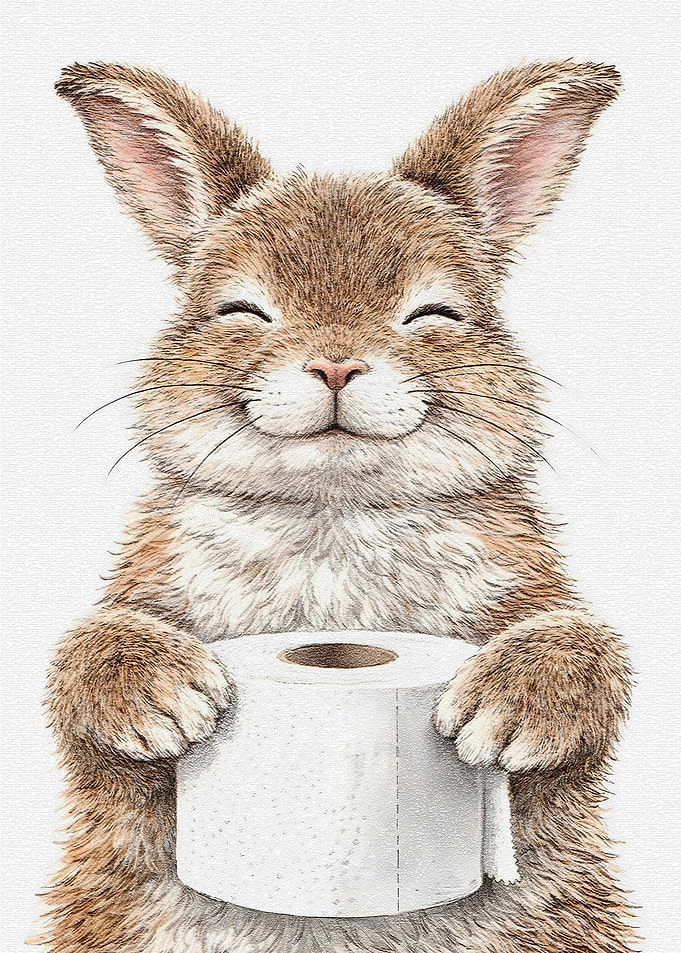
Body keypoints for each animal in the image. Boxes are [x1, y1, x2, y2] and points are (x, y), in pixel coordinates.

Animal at [38, 61, 636, 953]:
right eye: (240, 311)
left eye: (434, 314)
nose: (335, 366)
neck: (334, 511)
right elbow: (92, 665)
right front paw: (160, 705)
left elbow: (582, 650)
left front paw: (509, 715)